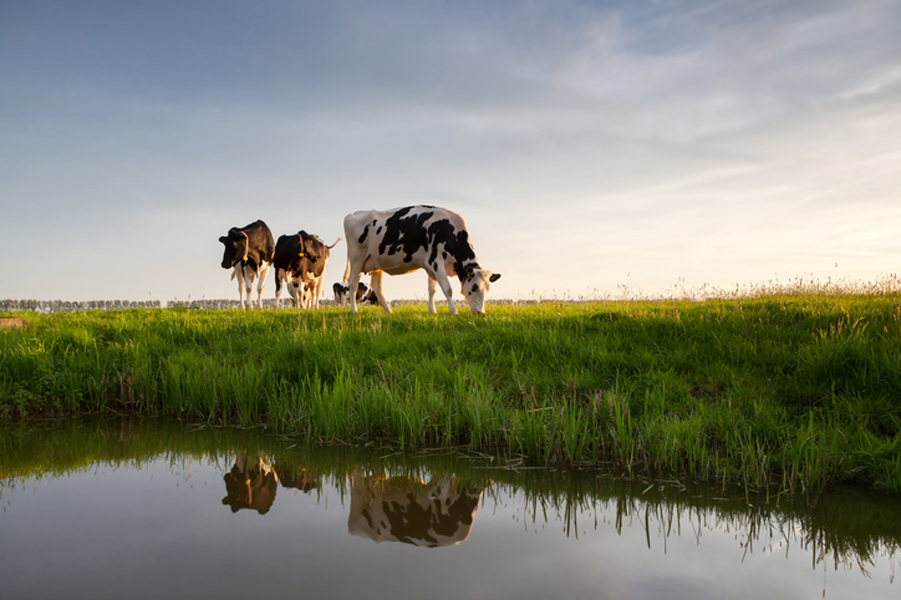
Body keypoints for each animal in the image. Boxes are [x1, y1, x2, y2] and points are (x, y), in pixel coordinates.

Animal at [342, 206, 500, 316]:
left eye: (488, 289)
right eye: (474, 287)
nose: (480, 313)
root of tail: (353, 214)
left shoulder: (430, 265)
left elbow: (432, 289)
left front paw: (432, 311)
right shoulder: (436, 262)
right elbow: (447, 289)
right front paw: (454, 311)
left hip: (376, 263)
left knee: (377, 287)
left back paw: (389, 311)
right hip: (357, 258)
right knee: (353, 284)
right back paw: (354, 311)